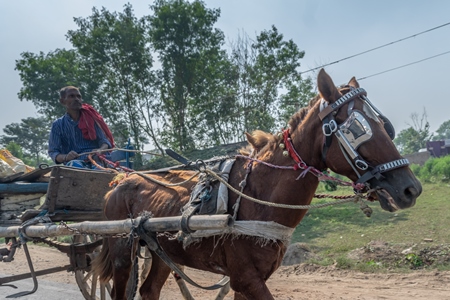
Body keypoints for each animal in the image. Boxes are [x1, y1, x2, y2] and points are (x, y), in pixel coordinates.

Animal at [94, 68, 422, 300]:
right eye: (356, 129)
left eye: (385, 125)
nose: (411, 189)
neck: (255, 198)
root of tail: (120, 180)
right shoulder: (247, 279)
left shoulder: (247, 281)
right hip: (122, 251)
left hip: (164, 251)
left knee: (149, 290)